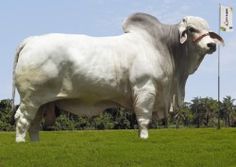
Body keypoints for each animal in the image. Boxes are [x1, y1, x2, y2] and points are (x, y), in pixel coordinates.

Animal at [12, 12, 223, 142]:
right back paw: (21, 145)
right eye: (191, 29)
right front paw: (144, 139)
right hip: (30, 98)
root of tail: (31, 41)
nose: (211, 45)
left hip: (41, 101)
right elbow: (144, 118)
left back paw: (35, 145)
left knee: (34, 125)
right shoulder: (145, 89)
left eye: (209, 30)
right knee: (22, 120)